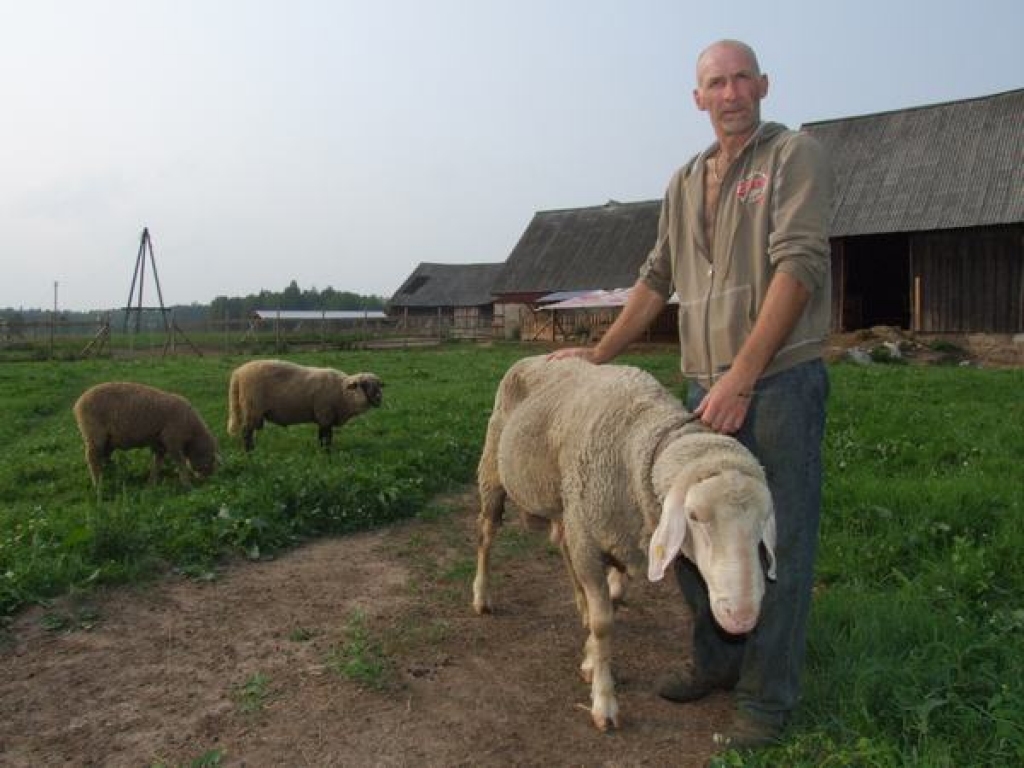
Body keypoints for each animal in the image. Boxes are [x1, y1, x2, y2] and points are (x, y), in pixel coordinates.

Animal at [73, 382, 219, 489]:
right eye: (210, 460)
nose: (206, 480)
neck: (191, 431)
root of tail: (78, 404)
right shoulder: (172, 439)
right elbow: (180, 462)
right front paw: (187, 484)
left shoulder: (160, 443)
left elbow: (157, 463)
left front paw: (151, 483)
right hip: (94, 433)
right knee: (92, 457)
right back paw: (98, 484)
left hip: (107, 440)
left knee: (102, 456)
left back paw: (110, 474)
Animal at [226, 360, 382, 454]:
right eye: (364, 385)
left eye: (379, 385)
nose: (379, 399)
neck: (343, 392)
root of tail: (238, 372)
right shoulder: (325, 414)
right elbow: (326, 437)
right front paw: (326, 453)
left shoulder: (324, 417)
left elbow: (322, 436)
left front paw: (322, 451)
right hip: (252, 407)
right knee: (246, 432)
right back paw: (250, 452)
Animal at [471, 356, 774, 733]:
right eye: (694, 515)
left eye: (763, 521)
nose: (743, 617)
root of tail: (535, 358)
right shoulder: (589, 539)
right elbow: (604, 623)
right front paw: (604, 701)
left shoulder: (606, 533)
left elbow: (606, 600)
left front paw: (590, 657)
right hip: (494, 470)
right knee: (486, 534)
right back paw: (482, 596)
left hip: (566, 502)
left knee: (562, 545)